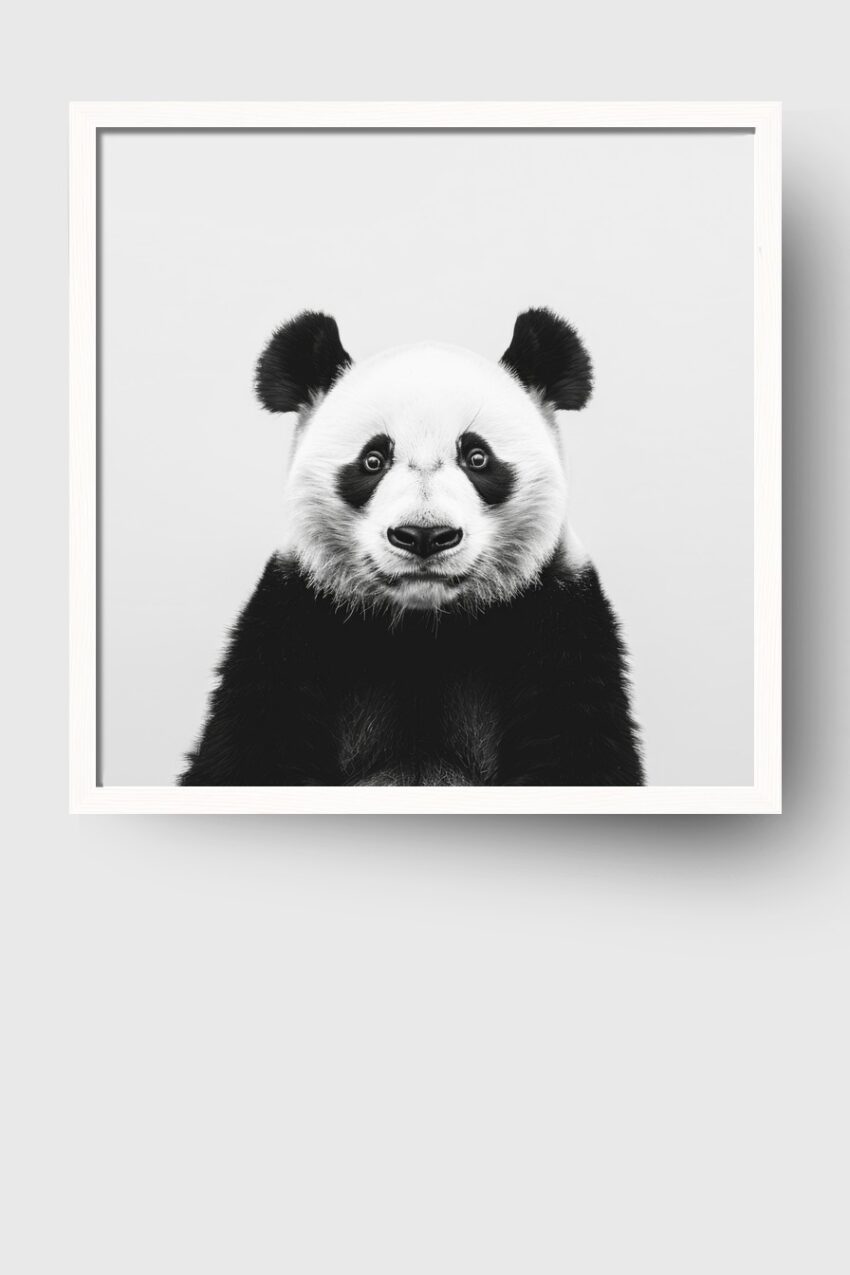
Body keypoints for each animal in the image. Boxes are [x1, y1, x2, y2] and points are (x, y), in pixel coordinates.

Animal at [179, 308, 644, 786]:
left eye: (477, 457)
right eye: (373, 460)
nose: (424, 536)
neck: (423, 631)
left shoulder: (559, 620)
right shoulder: (292, 619)